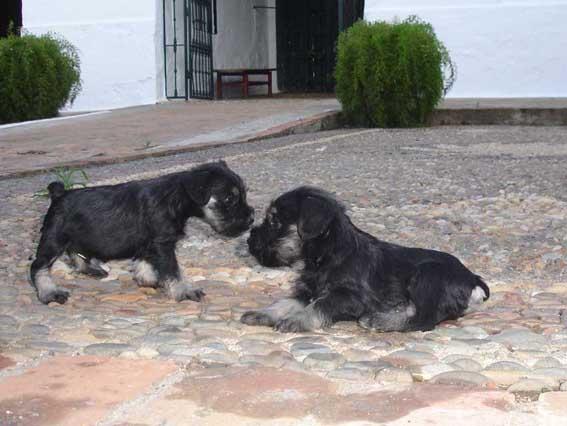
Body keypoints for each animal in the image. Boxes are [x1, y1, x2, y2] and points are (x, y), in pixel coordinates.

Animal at [30, 160, 254, 302]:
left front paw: (149, 280)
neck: (175, 197)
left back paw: (88, 268)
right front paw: (183, 291)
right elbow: (172, 269)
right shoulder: (163, 244)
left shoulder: (150, 244)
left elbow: (145, 263)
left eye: (243, 194)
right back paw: (49, 292)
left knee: (74, 250)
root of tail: (59, 194)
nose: (251, 219)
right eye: (229, 199)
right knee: (38, 266)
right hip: (54, 238)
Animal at [242, 186, 490, 332]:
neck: (327, 255)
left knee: (424, 320)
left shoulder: (349, 297)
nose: (249, 239)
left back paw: (378, 321)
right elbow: (283, 302)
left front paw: (297, 319)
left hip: (428, 275)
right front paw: (263, 313)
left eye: (274, 221)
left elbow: (320, 305)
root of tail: (472, 279)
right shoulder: (305, 292)